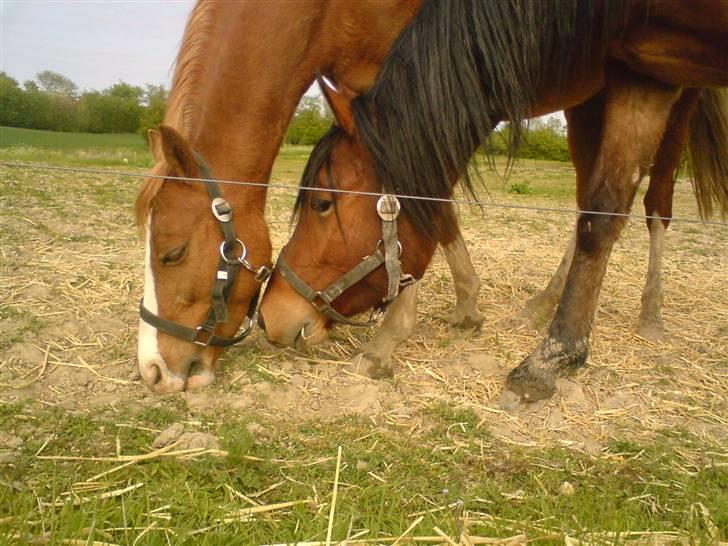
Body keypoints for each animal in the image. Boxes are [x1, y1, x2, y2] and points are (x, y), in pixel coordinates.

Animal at [257, 0, 728, 403]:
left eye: (322, 204)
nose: (268, 315)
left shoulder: (659, 75)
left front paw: (542, 364)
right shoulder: (641, 71)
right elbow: (600, 210)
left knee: (658, 204)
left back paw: (651, 314)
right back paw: (543, 304)